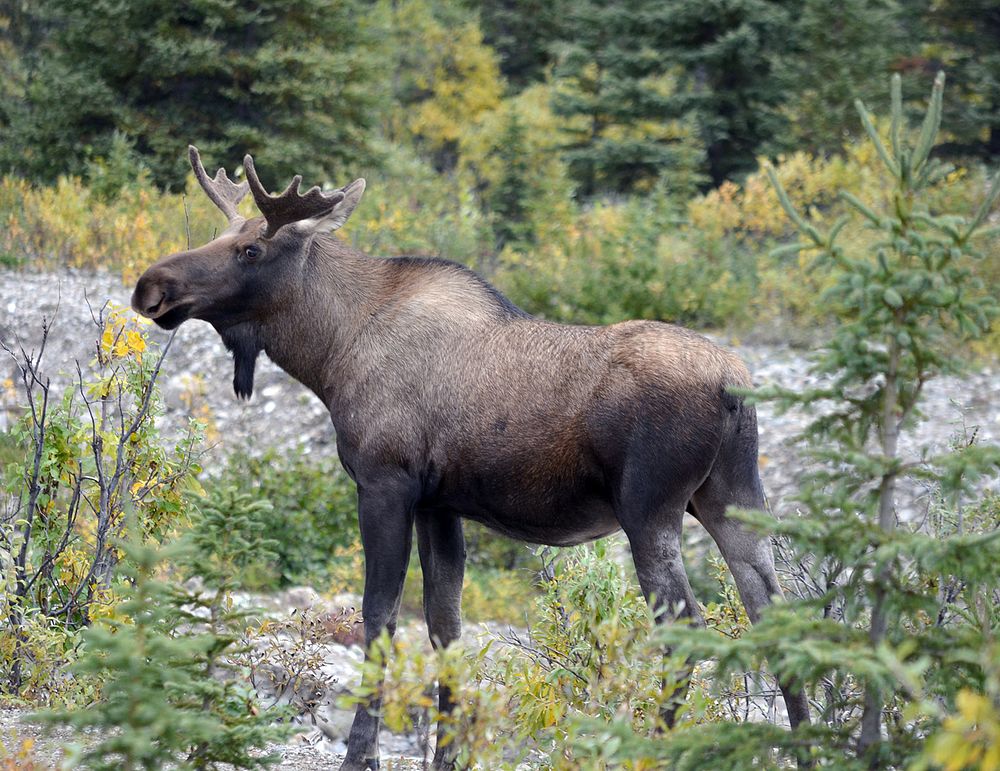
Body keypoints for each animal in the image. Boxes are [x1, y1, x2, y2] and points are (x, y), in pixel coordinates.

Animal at [133, 148, 808, 768]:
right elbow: (444, 627)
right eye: (223, 235)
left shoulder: (384, 483)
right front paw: (445, 755)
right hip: (732, 499)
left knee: (685, 627)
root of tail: (732, 386)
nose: (150, 287)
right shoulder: (440, 502)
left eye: (250, 250)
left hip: (649, 508)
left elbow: (380, 617)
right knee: (776, 616)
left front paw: (362, 754)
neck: (330, 353)